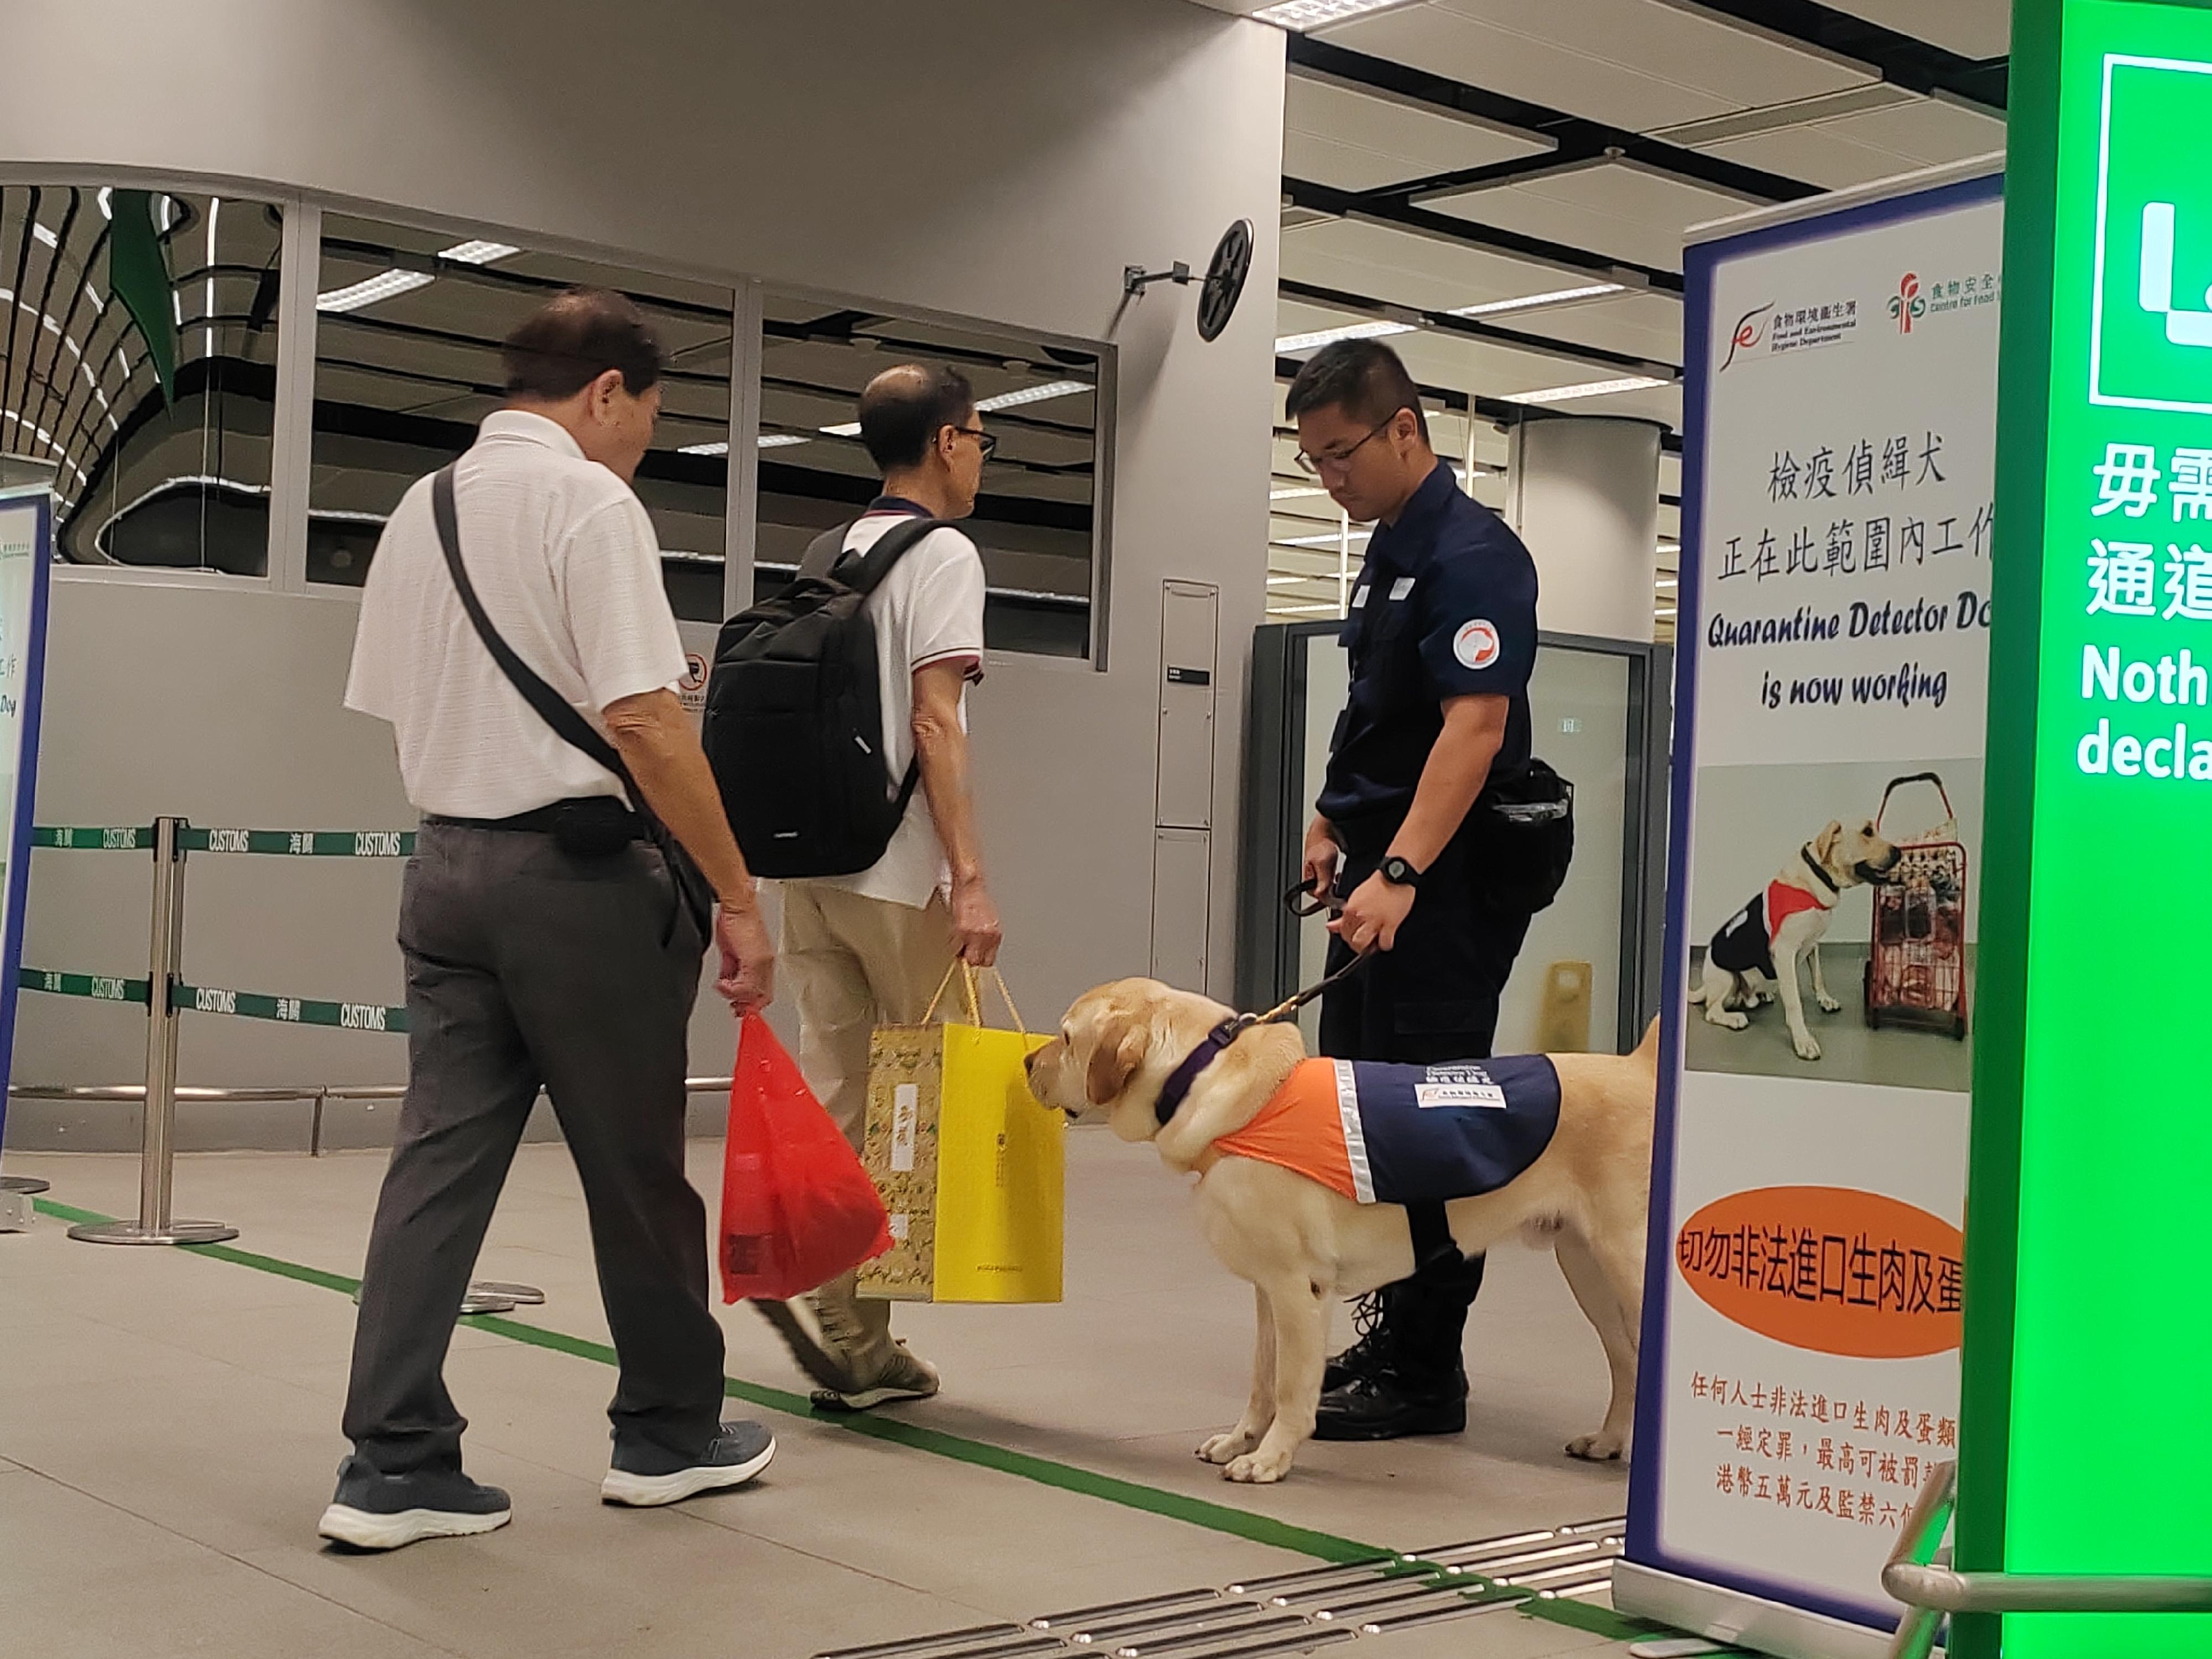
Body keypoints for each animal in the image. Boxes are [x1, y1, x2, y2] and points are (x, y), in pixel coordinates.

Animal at [1026, 987, 1655, 1495]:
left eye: (1066, 1037)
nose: (1029, 1060)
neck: (1204, 1079)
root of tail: (1642, 1069)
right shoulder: (1268, 1290)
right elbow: (1262, 1381)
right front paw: (1240, 1441)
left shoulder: (1299, 1288)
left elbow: (1291, 1387)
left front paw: (1270, 1460)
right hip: (1585, 1268)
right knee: (1627, 1359)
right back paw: (1609, 1441)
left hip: (1627, 1261)